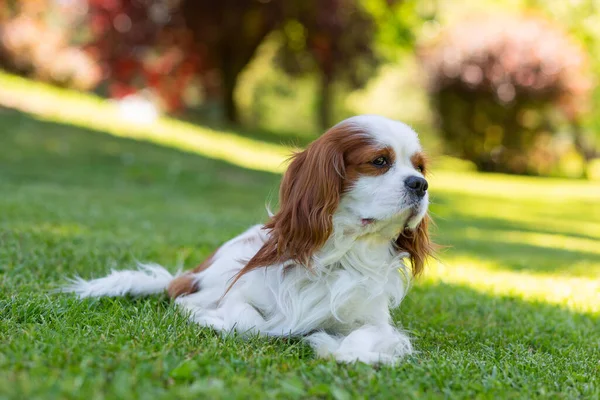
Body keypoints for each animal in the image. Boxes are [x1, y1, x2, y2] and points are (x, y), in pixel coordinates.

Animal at [65, 115, 432, 366]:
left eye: (419, 167)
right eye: (379, 161)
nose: (420, 184)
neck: (342, 253)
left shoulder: (374, 321)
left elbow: (362, 338)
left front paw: (344, 351)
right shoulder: (240, 293)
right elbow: (250, 323)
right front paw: (214, 319)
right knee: (181, 295)